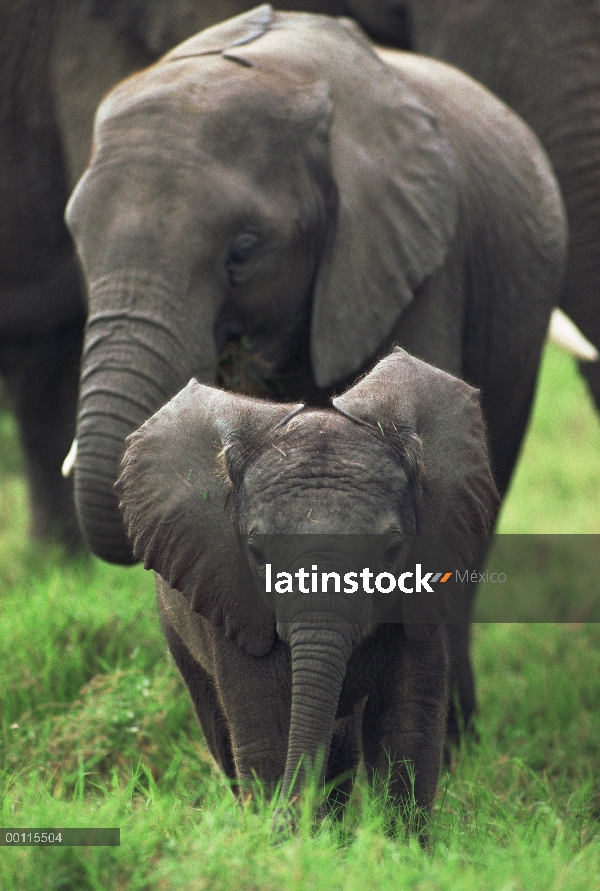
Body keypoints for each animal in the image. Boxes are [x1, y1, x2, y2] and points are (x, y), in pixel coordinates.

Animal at [115, 346, 500, 824]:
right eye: (256, 553)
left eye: (392, 551)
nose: (286, 820)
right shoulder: (235, 604)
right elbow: (264, 730)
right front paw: (278, 833)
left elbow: (406, 724)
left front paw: (399, 842)